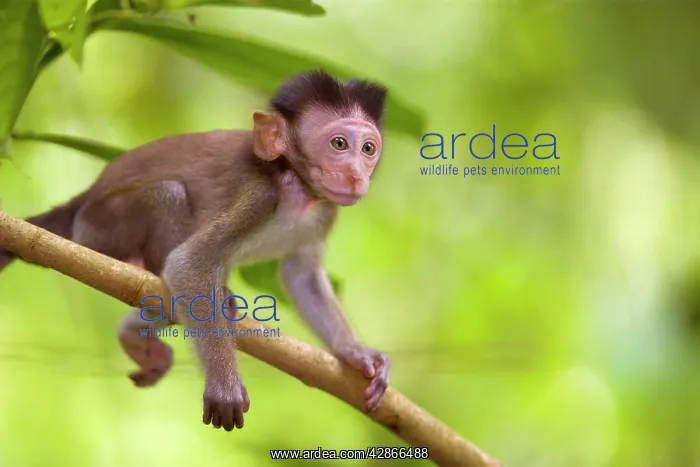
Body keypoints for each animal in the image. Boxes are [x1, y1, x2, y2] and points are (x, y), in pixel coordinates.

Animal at [0, 69, 391, 432]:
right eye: (339, 143)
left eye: (368, 149)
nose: (356, 175)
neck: (297, 187)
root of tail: (82, 200)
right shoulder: (259, 197)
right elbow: (187, 264)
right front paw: (224, 385)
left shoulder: (326, 211)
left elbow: (300, 274)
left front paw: (357, 354)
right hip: (97, 227)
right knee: (169, 197)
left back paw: (138, 333)